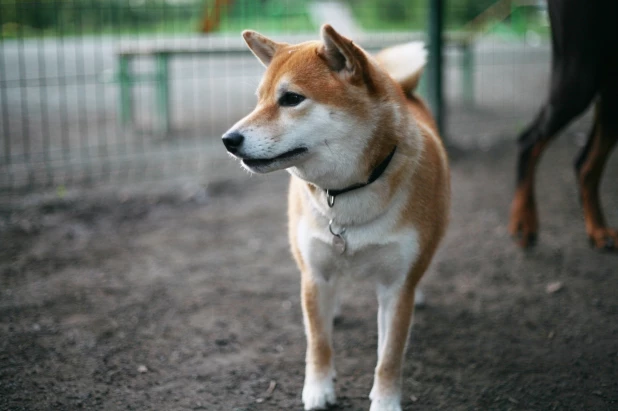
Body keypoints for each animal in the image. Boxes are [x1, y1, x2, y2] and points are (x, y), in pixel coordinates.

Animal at [221, 25, 448, 411]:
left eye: (291, 99)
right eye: (259, 99)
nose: (228, 139)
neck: (346, 193)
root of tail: (407, 89)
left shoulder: (396, 288)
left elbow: (390, 357)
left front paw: (385, 402)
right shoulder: (314, 273)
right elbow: (318, 342)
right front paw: (319, 390)